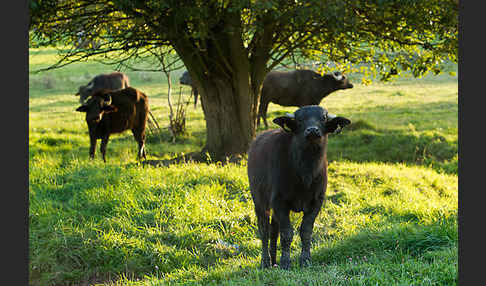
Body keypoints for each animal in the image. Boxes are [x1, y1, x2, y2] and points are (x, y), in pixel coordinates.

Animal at [249, 104, 352, 268]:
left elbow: (306, 231)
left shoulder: (316, 202)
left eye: (323, 118)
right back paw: (265, 261)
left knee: (273, 229)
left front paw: (305, 259)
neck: (305, 172)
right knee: (264, 229)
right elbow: (287, 233)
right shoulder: (279, 201)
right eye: (300, 119)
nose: (312, 130)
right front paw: (286, 262)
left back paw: (274, 260)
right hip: (259, 201)